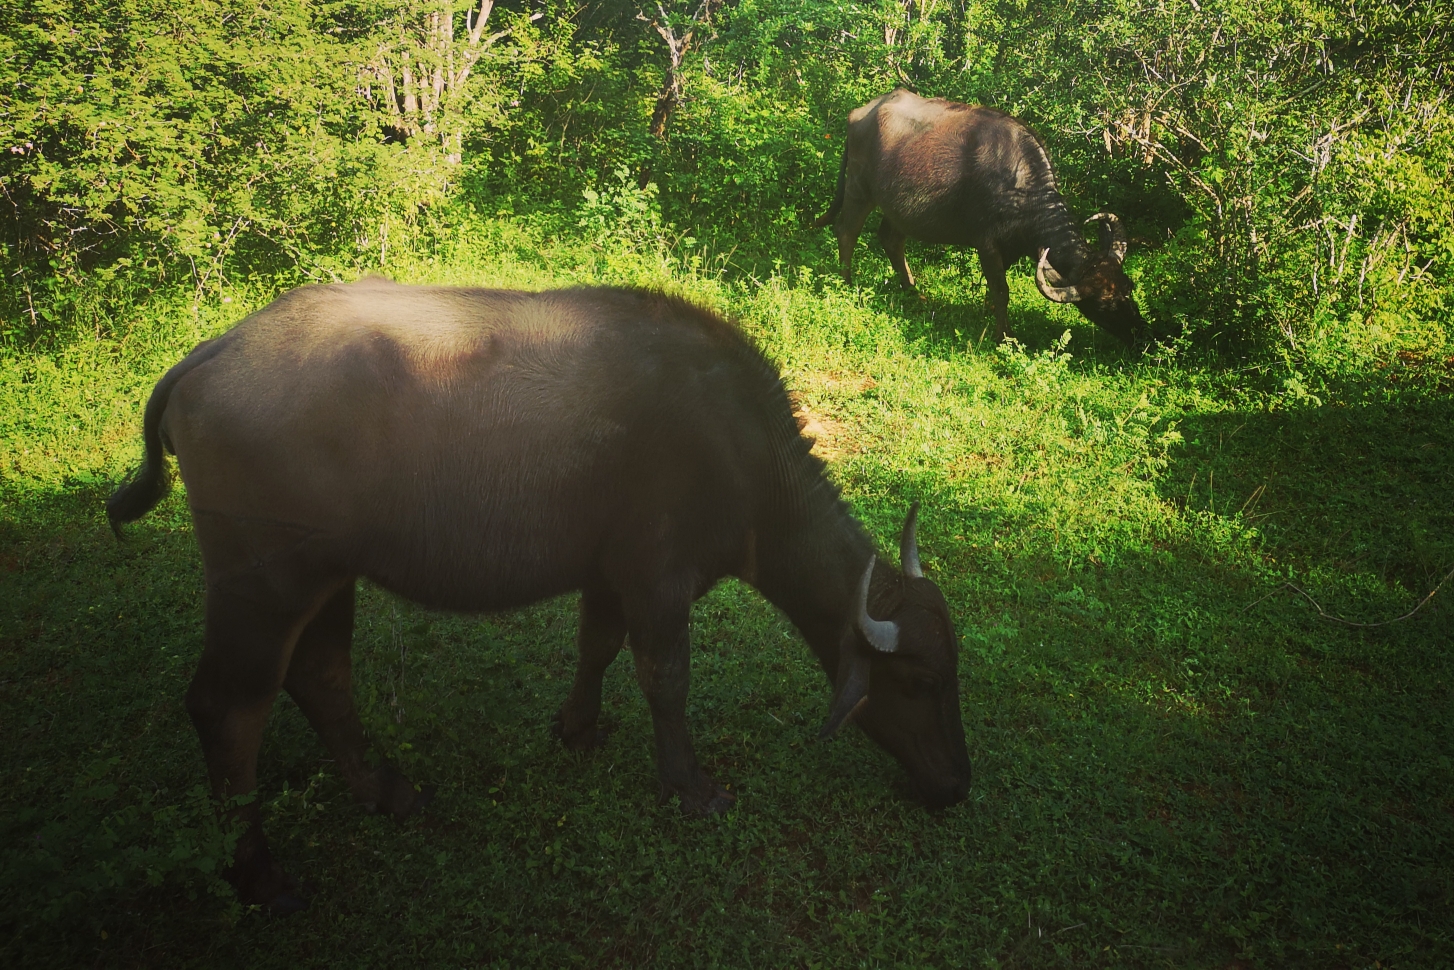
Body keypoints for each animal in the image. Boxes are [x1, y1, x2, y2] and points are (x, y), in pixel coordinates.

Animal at [107, 279, 971, 913]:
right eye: (919, 681)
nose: (957, 786)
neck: (744, 452)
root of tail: (212, 354)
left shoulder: (610, 573)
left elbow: (598, 647)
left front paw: (577, 728)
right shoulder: (660, 578)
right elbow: (666, 680)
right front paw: (689, 788)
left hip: (325, 580)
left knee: (321, 677)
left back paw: (386, 791)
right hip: (262, 586)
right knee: (228, 708)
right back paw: (259, 874)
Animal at [820, 88, 1145, 344]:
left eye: (1128, 289)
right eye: (1103, 304)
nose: (1140, 334)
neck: (1019, 188)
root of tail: (861, 112)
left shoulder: (1011, 248)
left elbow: (996, 290)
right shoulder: (986, 244)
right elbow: (1002, 290)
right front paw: (1005, 336)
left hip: (899, 208)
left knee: (890, 239)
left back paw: (912, 291)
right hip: (858, 188)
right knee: (847, 231)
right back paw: (846, 283)